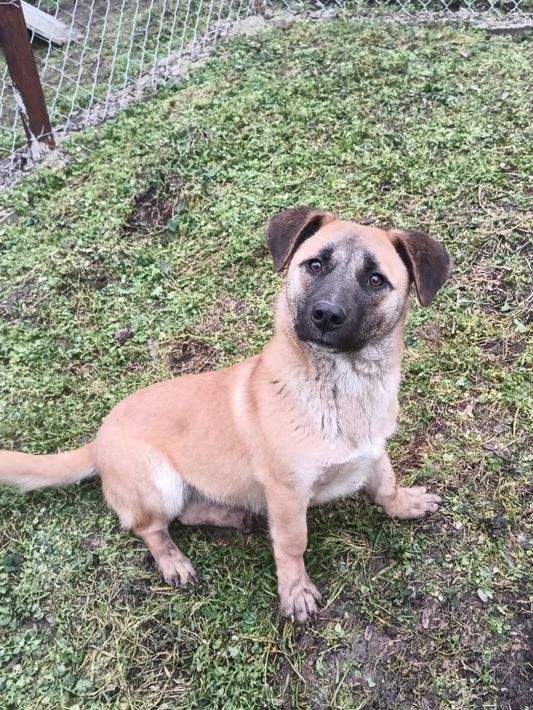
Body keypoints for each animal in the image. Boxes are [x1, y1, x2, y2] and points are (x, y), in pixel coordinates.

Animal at [0, 208, 452, 623]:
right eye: (315, 265)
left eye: (376, 280)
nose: (326, 315)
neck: (342, 385)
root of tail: (96, 441)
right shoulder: (288, 492)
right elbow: (293, 543)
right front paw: (295, 590)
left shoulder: (375, 451)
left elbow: (385, 485)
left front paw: (404, 504)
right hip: (159, 483)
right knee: (151, 528)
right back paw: (173, 560)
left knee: (188, 512)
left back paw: (234, 514)